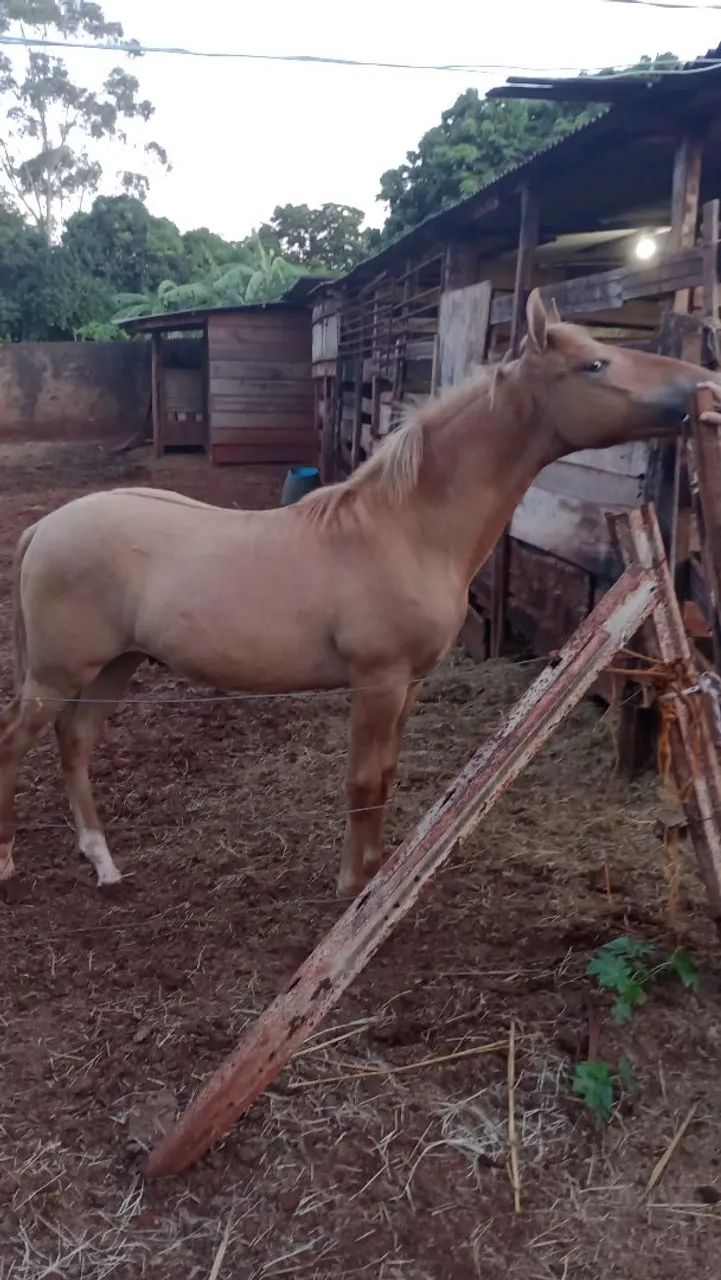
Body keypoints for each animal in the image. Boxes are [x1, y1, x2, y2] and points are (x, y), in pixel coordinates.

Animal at [0, 291, 711, 899]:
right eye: (595, 363)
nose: (704, 388)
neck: (406, 528)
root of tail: (44, 527)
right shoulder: (378, 680)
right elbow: (364, 781)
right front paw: (353, 887)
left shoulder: (410, 684)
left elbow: (388, 775)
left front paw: (376, 872)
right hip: (61, 673)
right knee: (16, 739)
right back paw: (9, 861)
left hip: (112, 667)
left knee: (74, 743)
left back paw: (103, 862)